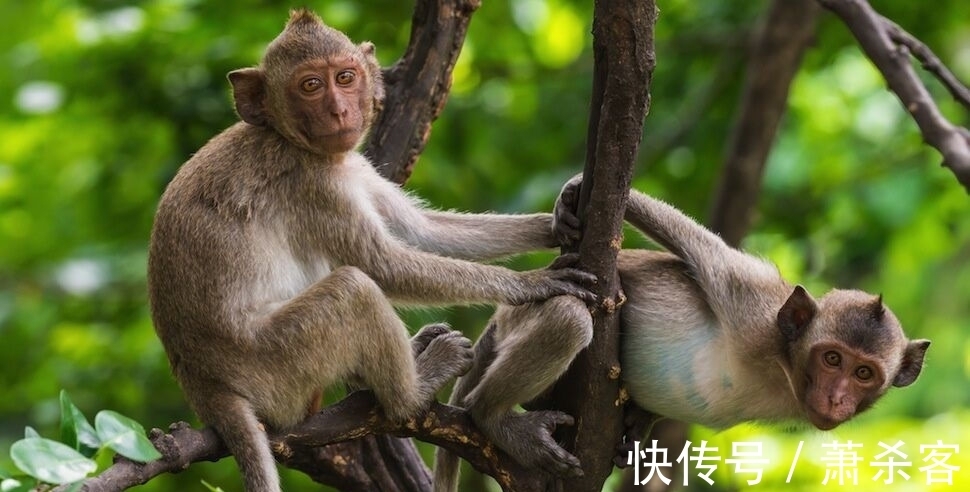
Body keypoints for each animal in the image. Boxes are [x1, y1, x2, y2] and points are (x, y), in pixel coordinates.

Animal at [147, 11, 592, 492]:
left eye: (345, 77)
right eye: (310, 86)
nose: (339, 110)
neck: (293, 141)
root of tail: (205, 386)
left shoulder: (351, 167)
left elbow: (422, 229)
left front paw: (559, 216)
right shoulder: (313, 187)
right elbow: (384, 265)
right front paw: (531, 283)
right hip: (275, 364)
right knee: (353, 289)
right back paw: (411, 392)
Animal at [432, 175, 932, 490]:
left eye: (863, 373)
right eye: (832, 359)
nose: (835, 398)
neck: (784, 369)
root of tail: (500, 317)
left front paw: (639, 425)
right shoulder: (753, 309)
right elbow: (704, 250)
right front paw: (573, 193)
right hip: (522, 321)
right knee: (568, 319)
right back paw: (493, 415)